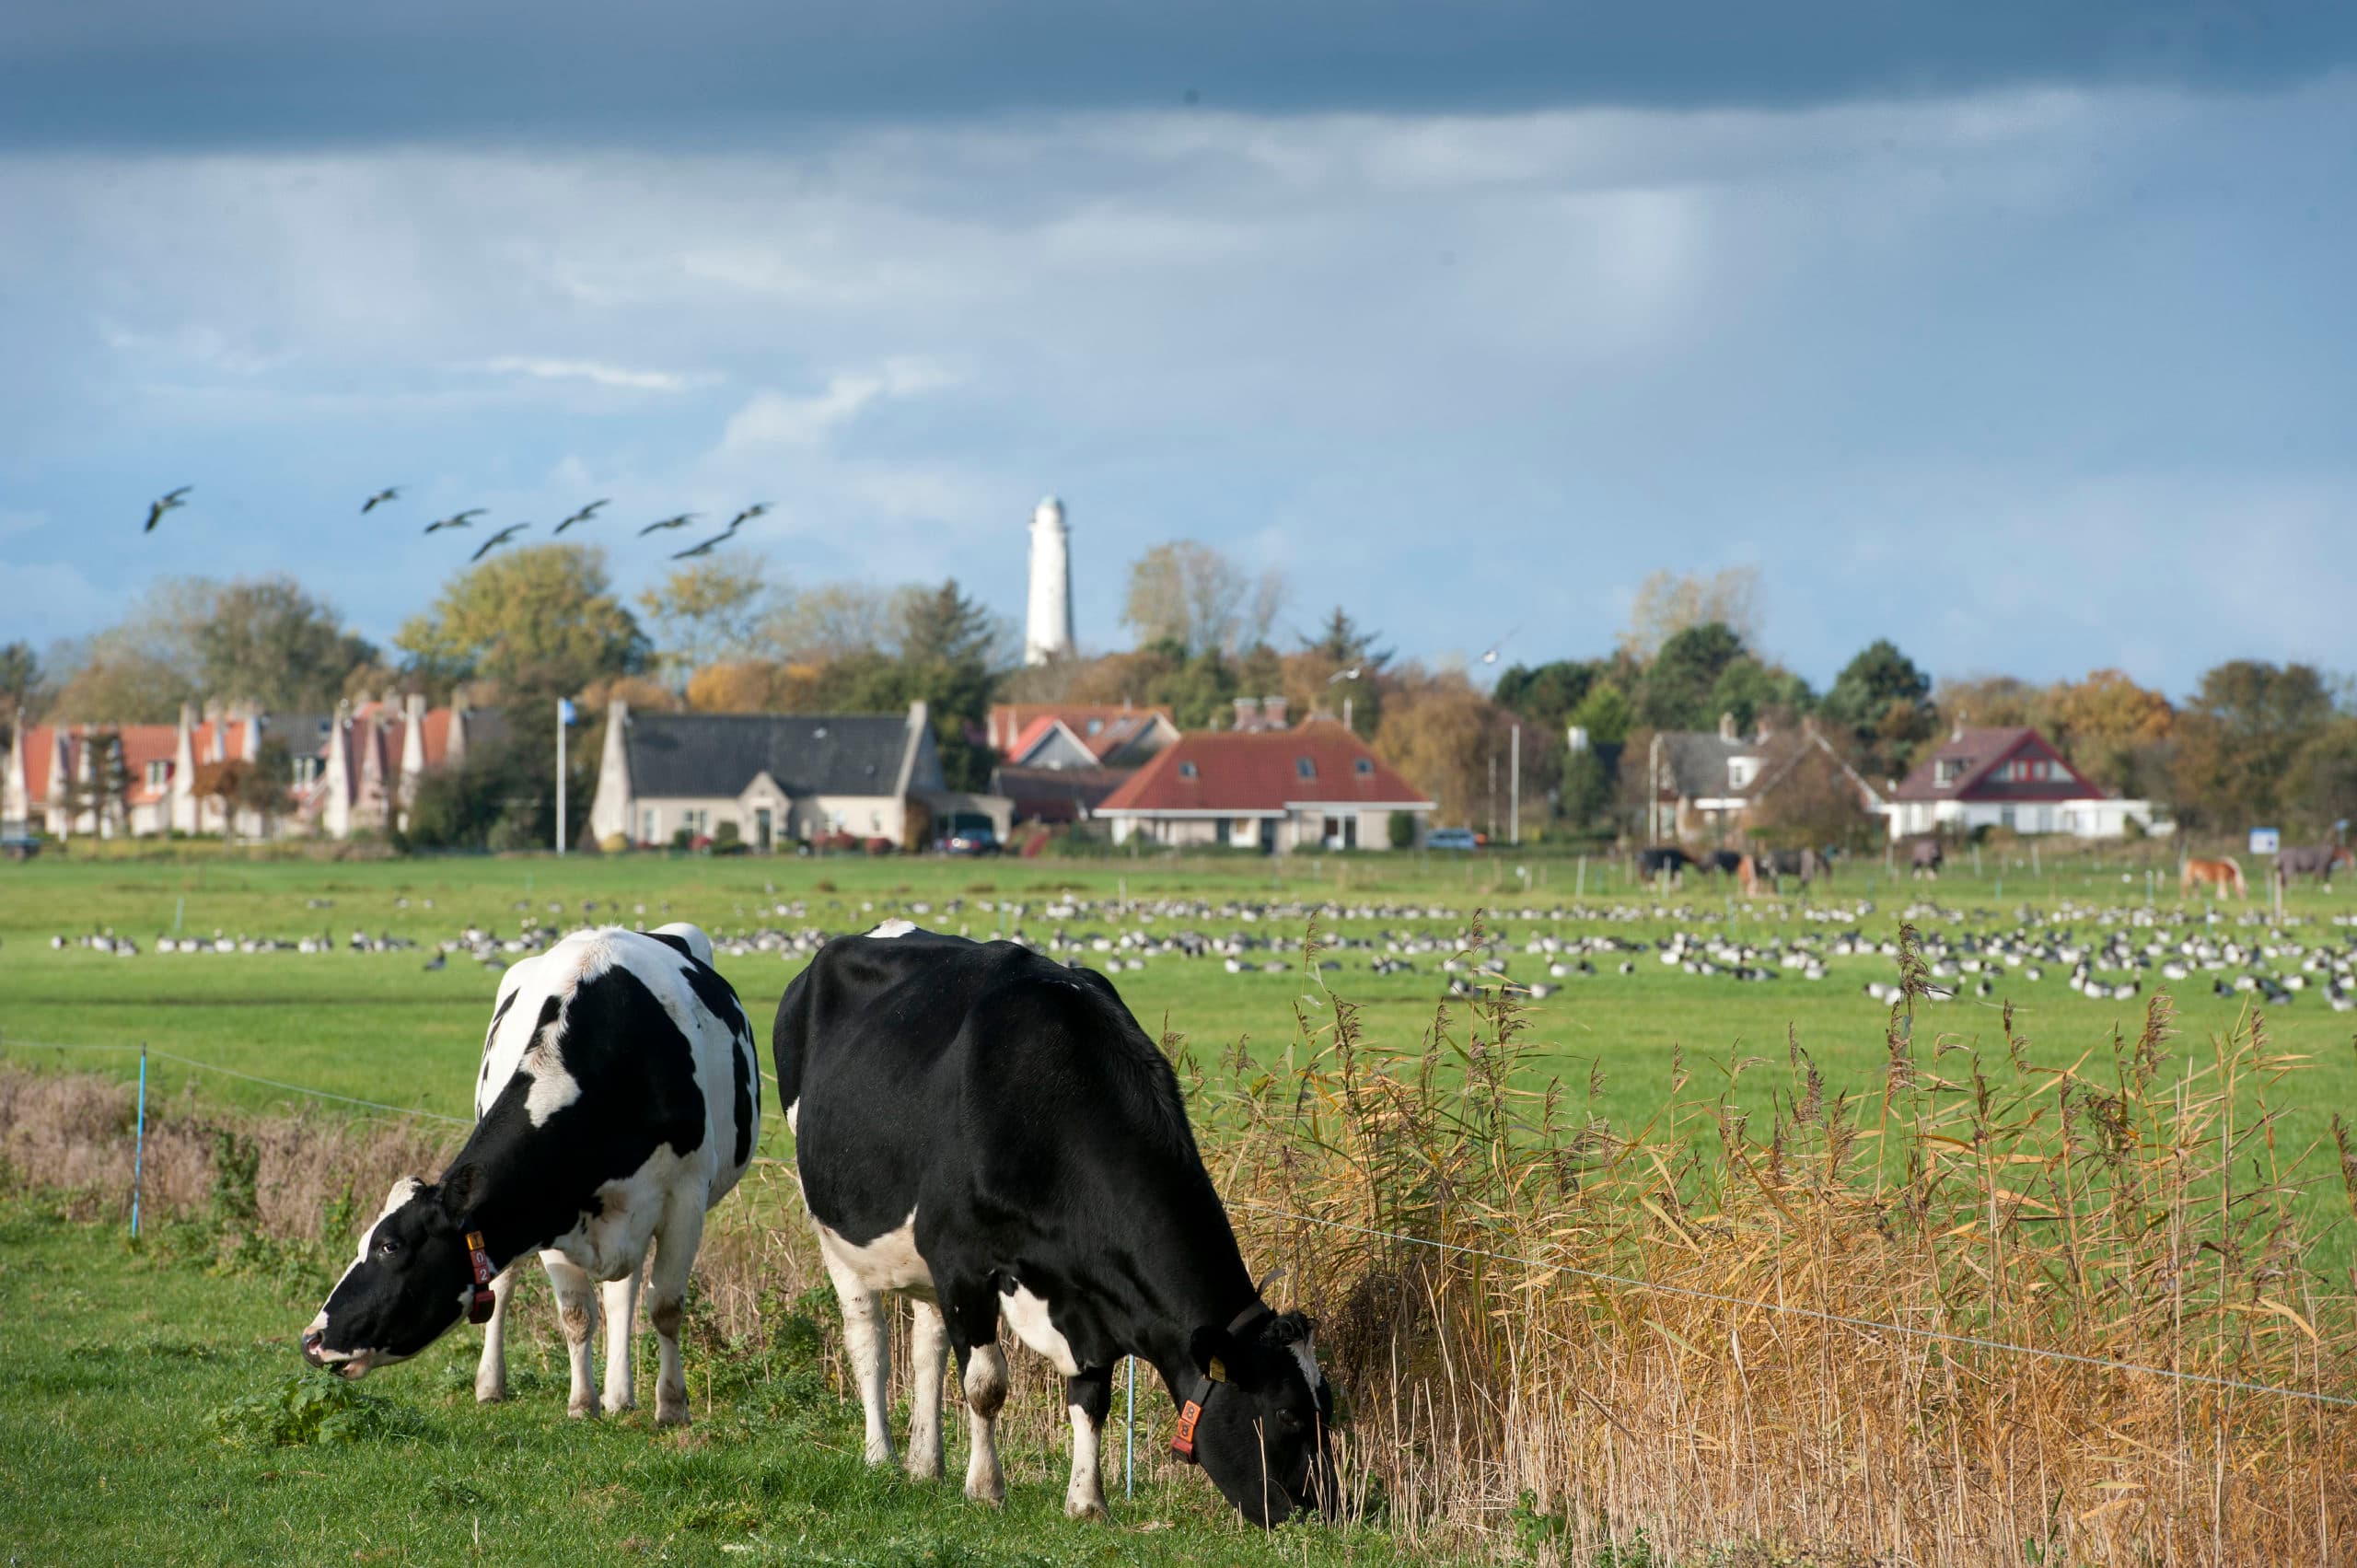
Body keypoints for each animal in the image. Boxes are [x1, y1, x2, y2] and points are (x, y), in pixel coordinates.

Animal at [302, 923, 760, 1428]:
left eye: (389, 1246)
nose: (311, 1340)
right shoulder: (551, 1214)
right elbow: (576, 1314)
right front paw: (582, 1404)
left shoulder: (685, 1198)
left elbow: (666, 1307)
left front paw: (673, 1407)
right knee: (508, 1289)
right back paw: (496, 1386)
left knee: (623, 1294)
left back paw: (622, 1396)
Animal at [774, 921, 1337, 1526]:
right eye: (1288, 1414)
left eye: (1328, 1407)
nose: (1328, 1509)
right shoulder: (961, 1260)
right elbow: (985, 1385)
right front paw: (986, 1489)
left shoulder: (1087, 1296)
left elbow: (1092, 1400)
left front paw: (1087, 1502)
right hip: (830, 1226)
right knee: (869, 1341)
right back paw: (880, 1456)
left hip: (920, 1260)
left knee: (927, 1346)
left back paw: (925, 1464)